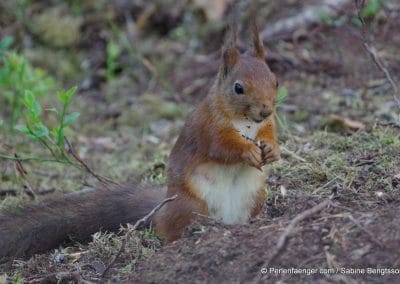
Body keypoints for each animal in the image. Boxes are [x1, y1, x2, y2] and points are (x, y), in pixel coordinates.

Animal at [0, 22, 280, 262]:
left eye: (275, 80)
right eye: (238, 88)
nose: (266, 109)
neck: (245, 121)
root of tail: (163, 210)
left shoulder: (266, 126)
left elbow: (269, 136)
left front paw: (272, 151)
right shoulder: (208, 129)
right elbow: (222, 147)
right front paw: (248, 152)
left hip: (255, 195)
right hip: (190, 205)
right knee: (174, 231)